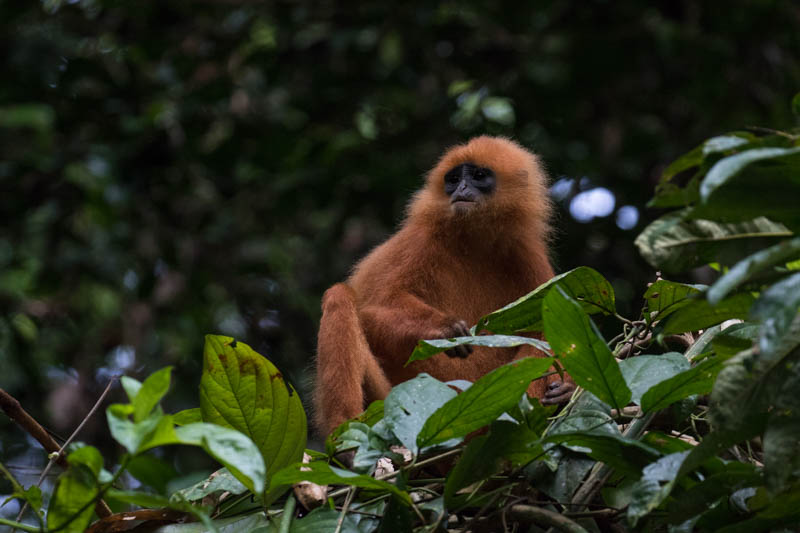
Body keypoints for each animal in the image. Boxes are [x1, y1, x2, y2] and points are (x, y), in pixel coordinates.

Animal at [314, 135, 576, 434]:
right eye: (453, 179)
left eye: (478, 176)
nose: (460, 188)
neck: (473, 244)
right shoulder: (420, 240)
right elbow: (373, 311)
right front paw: (443, 328)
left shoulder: (526, 254)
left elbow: (546, 331)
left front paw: (564, 389)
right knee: (340, 297)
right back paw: (344, 431)